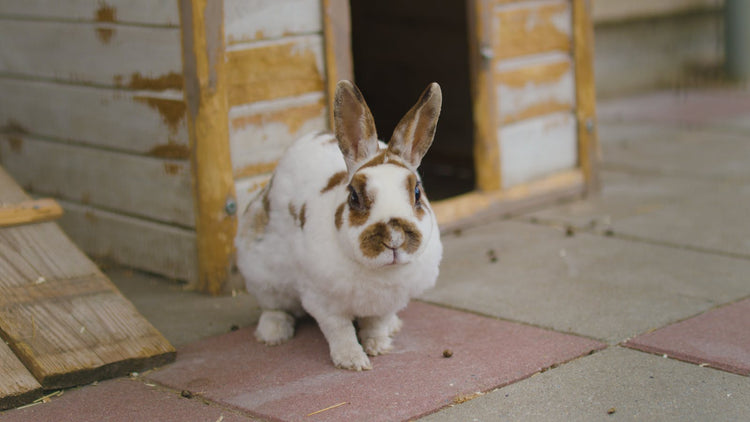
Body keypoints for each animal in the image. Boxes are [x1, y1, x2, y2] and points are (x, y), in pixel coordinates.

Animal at [235, 80, 443, 371]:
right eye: (354, 197)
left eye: (416, 193)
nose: (394, 238)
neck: (380, 272)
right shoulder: (323, 301)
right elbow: (340, 331)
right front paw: (353, 360)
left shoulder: (387, 302)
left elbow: (375, 324)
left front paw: (379, 346)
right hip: (261, 272)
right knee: (274, 306)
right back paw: (273, 333)